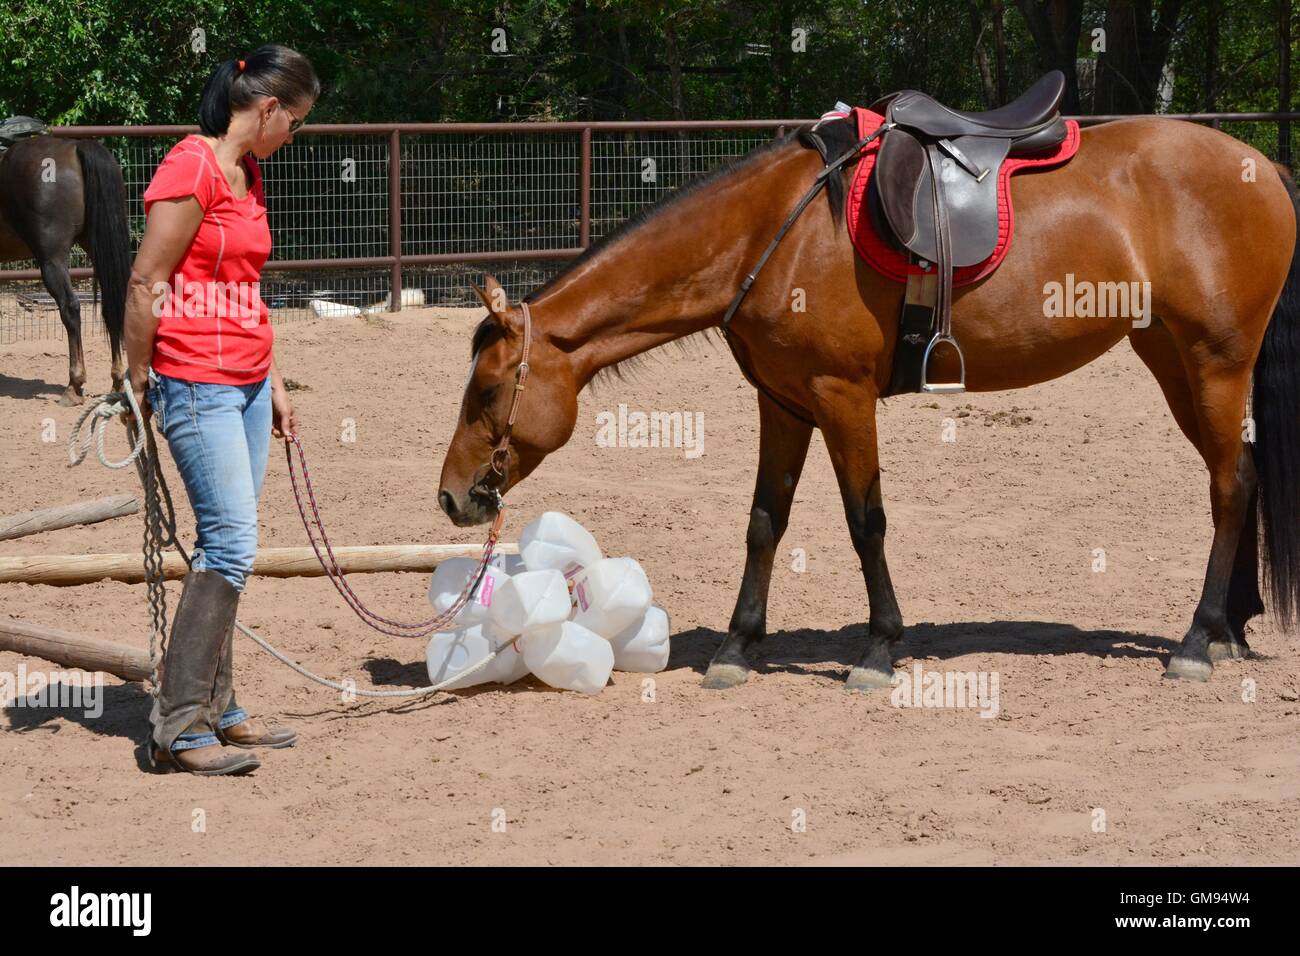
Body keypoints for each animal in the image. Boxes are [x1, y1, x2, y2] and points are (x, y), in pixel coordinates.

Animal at [0, 135, 130, 403]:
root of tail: (75, 146)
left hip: (52, 259)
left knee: (70, 307)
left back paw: (74, 385)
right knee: (112, 304)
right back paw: (117, 381)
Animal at [439, 113, 1300, 686]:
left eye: (488, 387)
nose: (451, 498)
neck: (773, 234)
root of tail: (1261, 165)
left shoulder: (842, 396)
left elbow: (866, 521)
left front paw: (881, 647)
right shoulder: (784, 403)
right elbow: (765, 521)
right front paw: (737, 646)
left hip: (1214, 362)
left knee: (1230, 485)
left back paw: (1197, 641)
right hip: (1175, 361)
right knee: (1238, 479)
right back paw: (1229, 627)